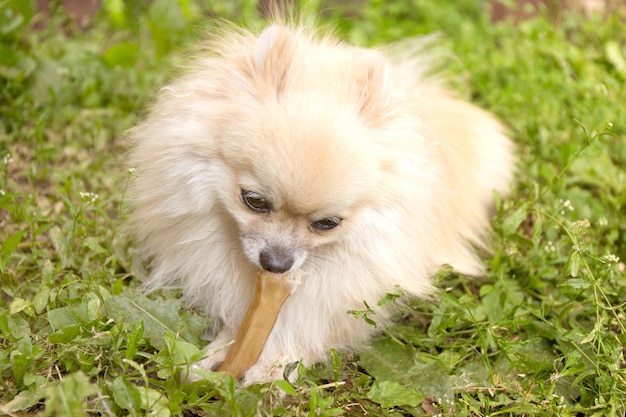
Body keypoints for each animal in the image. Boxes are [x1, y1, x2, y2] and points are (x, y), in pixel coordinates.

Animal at [127, 19, 512, 384]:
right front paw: (220, 351)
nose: (276, 263)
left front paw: (276, 363)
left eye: (327, 224)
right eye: (254, 201)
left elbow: (309, 325)